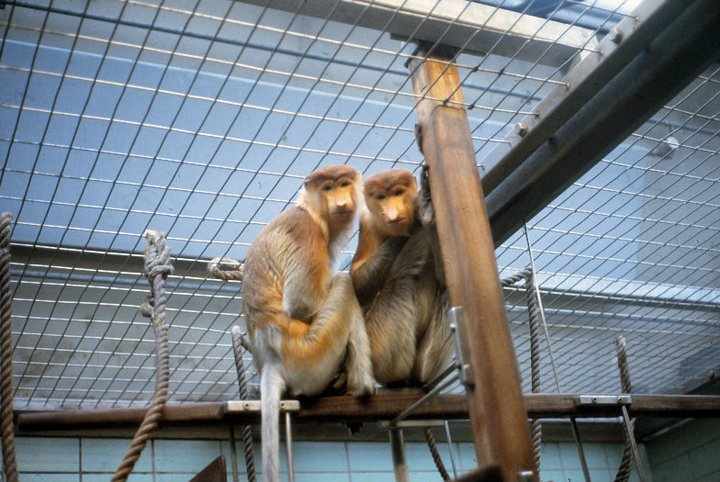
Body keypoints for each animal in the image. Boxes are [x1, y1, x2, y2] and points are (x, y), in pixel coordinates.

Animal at [241, 164, 376, 482]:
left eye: (343, 184)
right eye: (327, 188)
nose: (341, 202)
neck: (311, 211)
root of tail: (271, 359)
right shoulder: (305, 231)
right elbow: (302, 303)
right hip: (311, 353)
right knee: (343, 285)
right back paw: (363, 386)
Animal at [351, 168, 452, 386]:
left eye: (398, 193)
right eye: (381, 197)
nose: (392, 212)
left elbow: (445, 279)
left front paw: (425, 209)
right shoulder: (367, 221)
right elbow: (356, 283)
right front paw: (414, 223)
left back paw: (421, 376)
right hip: (377, 345)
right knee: (401, 277)